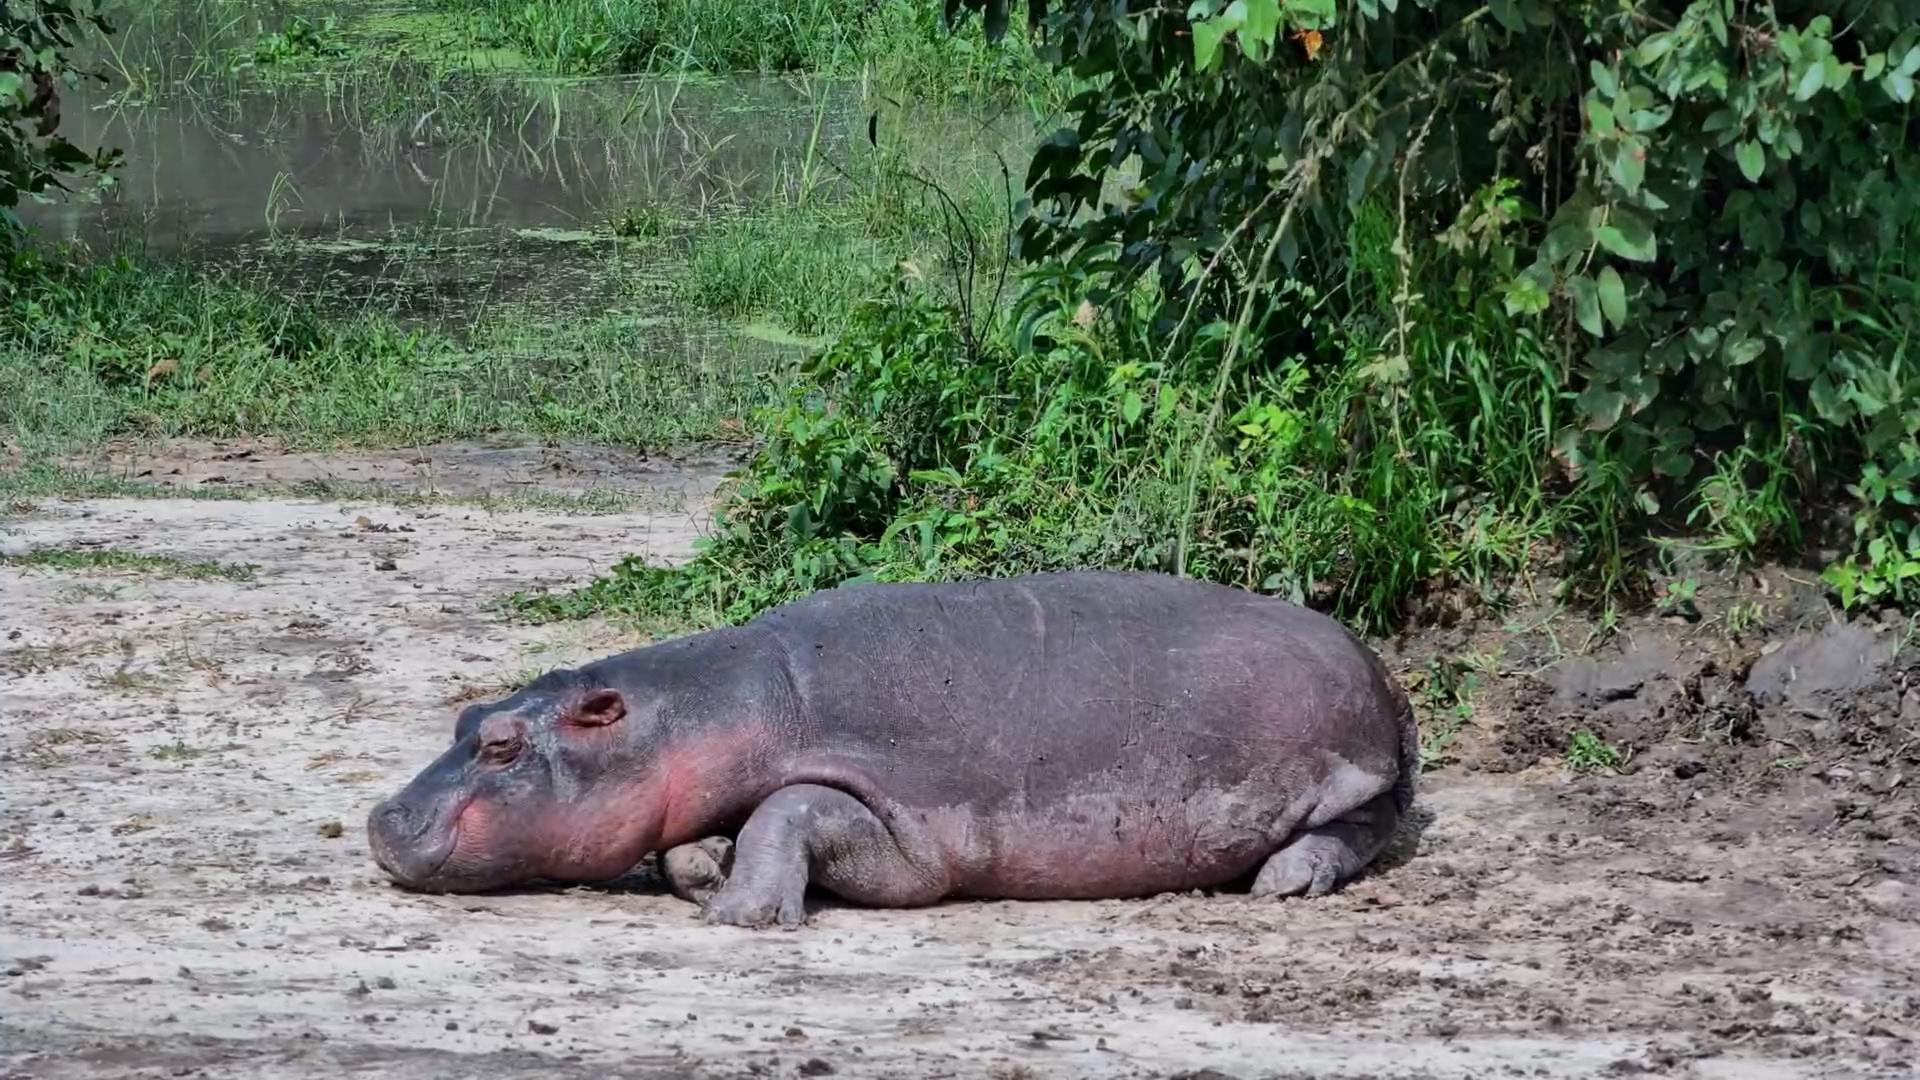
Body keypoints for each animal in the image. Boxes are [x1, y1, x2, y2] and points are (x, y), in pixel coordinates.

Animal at [367, 570, 1418, 927]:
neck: (711, 707)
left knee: (1358, 828)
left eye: (501, 746)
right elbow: (692, 840)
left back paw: (1281, 882)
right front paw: (704, 873)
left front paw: (739, 913)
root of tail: (1376, 663)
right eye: (465, 720)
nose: (384, 815)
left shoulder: (896, 822)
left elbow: (788, 809)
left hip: (1352, 768)